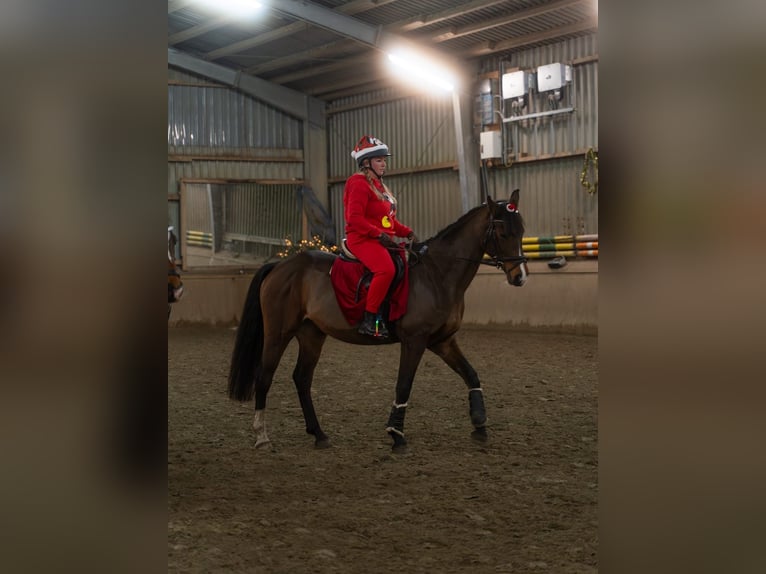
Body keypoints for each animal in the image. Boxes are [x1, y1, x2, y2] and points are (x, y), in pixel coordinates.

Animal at [228, 190, 528, 453]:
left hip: (312, 334)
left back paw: (319, 434)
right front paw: (396, 436)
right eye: (503, 233)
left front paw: (479, 424)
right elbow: (403, 386)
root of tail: (280, 265)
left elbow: (471, 374)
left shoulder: (442, 341)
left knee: (302, 378)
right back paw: (262, 437)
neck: (437, 274)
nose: (520, 277)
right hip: (279, 333)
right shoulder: (415, 341)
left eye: (522, 231)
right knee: (265, 376)